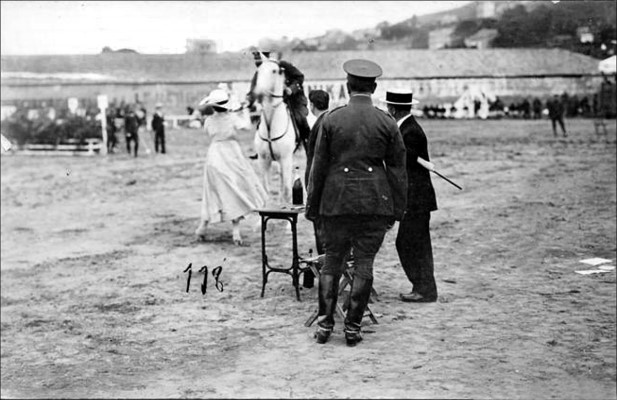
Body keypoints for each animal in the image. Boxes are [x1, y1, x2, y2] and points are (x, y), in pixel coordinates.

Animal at [251, 55, 298, 206]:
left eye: (274, 71)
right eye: (258, 71)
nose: (258, 92)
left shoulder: (286, 159)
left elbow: (287, 189)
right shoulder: (264, 160)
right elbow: (266, 190)